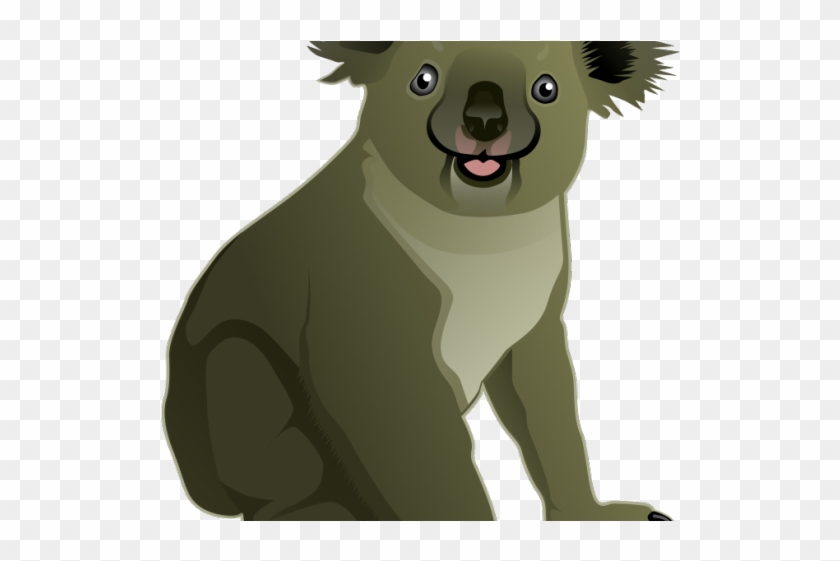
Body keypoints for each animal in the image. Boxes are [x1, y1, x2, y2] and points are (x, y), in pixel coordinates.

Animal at [163, 41, 676, 521]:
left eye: (545, 89)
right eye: (423, 80)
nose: (484, 123)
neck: (480, 236)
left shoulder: (535, 321)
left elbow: (548, 417)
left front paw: (594, 514)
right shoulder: (357, 301)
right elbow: (415, 442)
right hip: (235, 381)